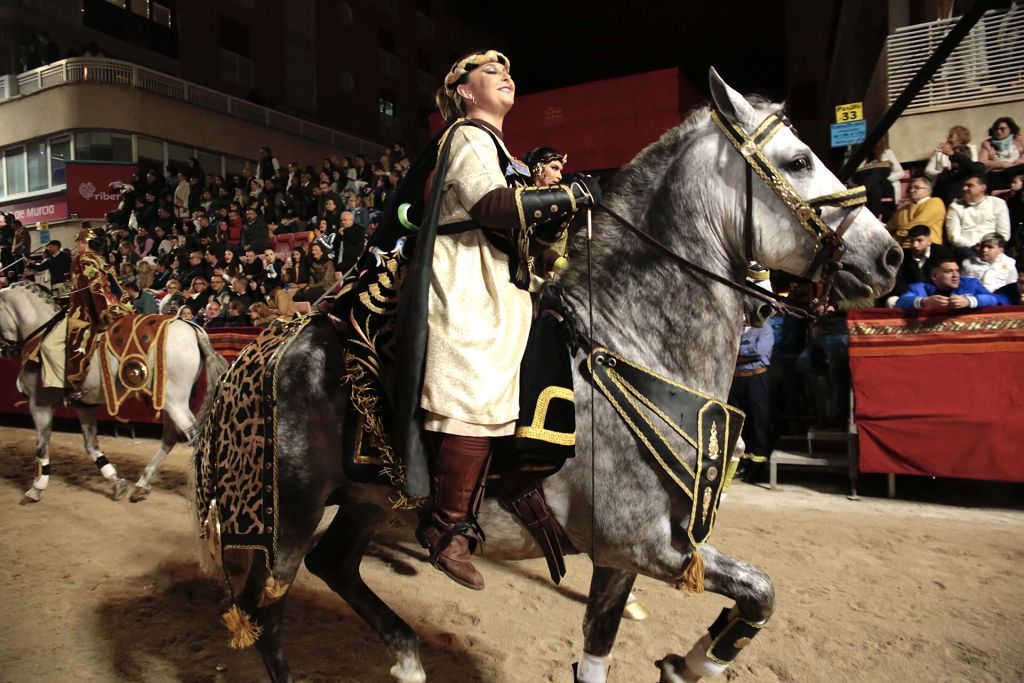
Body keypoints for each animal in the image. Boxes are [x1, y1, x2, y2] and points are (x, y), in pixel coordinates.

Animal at [0, 280, 228, 505]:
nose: (6, 350)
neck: (41, 331)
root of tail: (192, 328)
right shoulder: (84, 405)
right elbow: (91, 446)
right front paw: (116, 483)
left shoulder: (40, 403)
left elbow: (42, 446)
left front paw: (36, 488)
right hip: (169, 401)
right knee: (171, 438)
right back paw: (141, 484)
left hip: (175, 401)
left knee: (196, 438)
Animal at [197, 72, 897, 679]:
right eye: (800, 160)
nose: (888, 256)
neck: (632, 342)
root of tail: (263, 350)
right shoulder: (646, 545)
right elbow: (761, 590)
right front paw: (695, 662)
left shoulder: (623, 555)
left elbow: (611, 641)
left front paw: (685, 664)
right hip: (288, 513)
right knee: (267, 610)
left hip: (369, 498)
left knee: (335, 565)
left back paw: (408, 657)